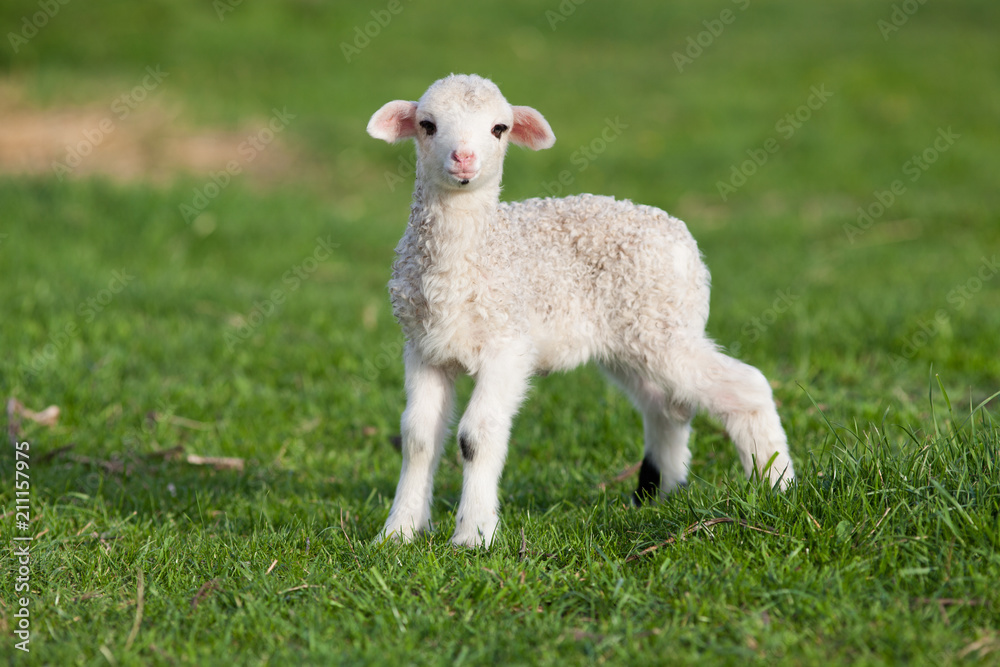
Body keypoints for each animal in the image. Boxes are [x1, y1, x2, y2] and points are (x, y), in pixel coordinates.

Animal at [367, 73, 795, 549]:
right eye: (427, 125)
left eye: (499, 128)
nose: (464, 158)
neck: (467, 261)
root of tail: (684, 240)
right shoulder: (423, 347)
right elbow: (418, 436)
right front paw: (398, 532)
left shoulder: (508, 345)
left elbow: (476, 435)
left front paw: (474, 535)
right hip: (632, 337)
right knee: (665, 406)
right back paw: (656, 495)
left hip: (665, 326)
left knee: (748, 386)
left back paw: (777, 485)